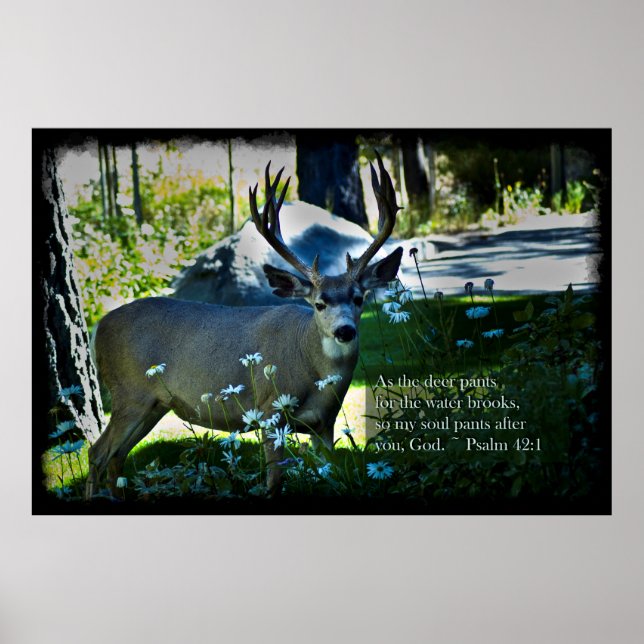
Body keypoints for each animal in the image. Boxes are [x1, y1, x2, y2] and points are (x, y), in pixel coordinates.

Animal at [85, 153, 403, 499]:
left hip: (153, 404)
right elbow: (275, 481)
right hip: (130, 393)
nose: (344, 331)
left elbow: (330, 476)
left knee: (116, 457)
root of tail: (98, 326)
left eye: (359, 298)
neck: (311, 362)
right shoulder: (269, 410)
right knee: (97, 452)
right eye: (319, 303)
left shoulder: (325, 424)